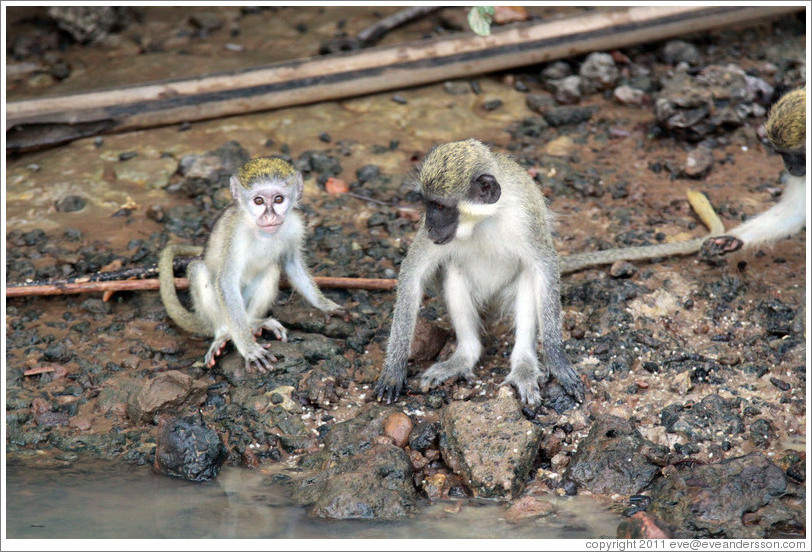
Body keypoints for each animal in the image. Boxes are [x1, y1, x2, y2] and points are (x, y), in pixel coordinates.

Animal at [160, 157, 344, 374]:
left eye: (278, 199)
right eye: (259, 201)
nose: (270, 217)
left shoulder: (295, 226)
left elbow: (292, 264)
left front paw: (325, 305)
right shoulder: (236, 234)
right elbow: (226, 281)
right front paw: (248, 349)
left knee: (272, 268)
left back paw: (254, 323)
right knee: (199, 269)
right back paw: (224, 333)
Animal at [374, 138, 584, 406]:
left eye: (439, 205)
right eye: (427, 205)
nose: (429, 226)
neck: (484, 219)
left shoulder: (526, 217)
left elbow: (545, 268)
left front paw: (557, 361)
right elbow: (413, 273)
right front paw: (394, 368)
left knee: (529, 278)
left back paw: (523, 364)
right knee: (454, 273)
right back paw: (465, 355)